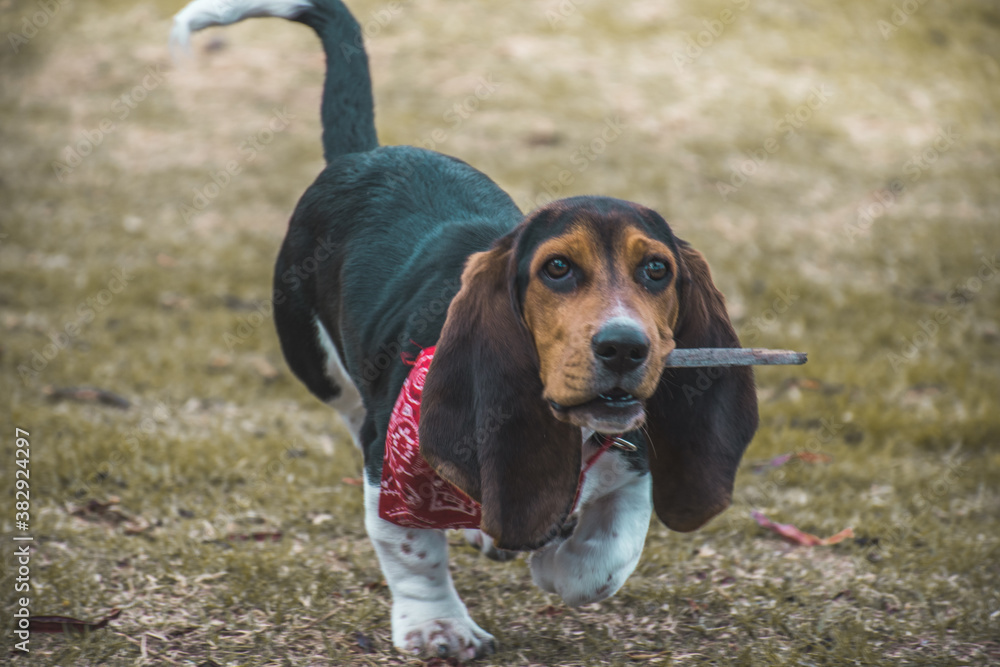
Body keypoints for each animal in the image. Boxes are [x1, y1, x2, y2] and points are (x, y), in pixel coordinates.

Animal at [172, 0, 756, 656]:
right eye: (557, 268)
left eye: (657, 269)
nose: (625, 347)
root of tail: (366, 153)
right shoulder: (391, 462)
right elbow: (413, 550)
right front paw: (439, 628)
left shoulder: (630, 458)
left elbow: (607, 555)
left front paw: (556, 561)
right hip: (317, 361)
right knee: (349, 407)